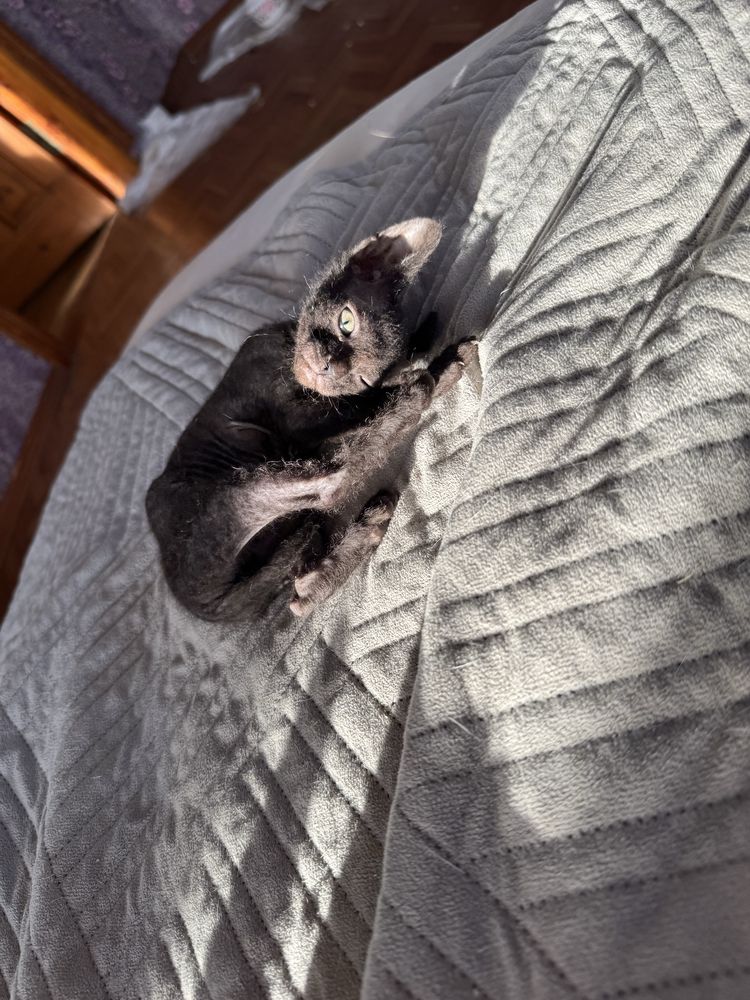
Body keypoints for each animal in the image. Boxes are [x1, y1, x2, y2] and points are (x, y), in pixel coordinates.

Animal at [146, 217, 477, 621]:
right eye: (345, 322)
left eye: (361, 375)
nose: (329, 365)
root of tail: (204, 606)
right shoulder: (292, 408)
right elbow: (359, 405)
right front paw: (424, 365)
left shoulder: (329, 412)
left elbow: (363, 401)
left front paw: (428, 361)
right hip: (236, 488)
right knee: (334, 482)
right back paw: (420, 390)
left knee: (302, 581)